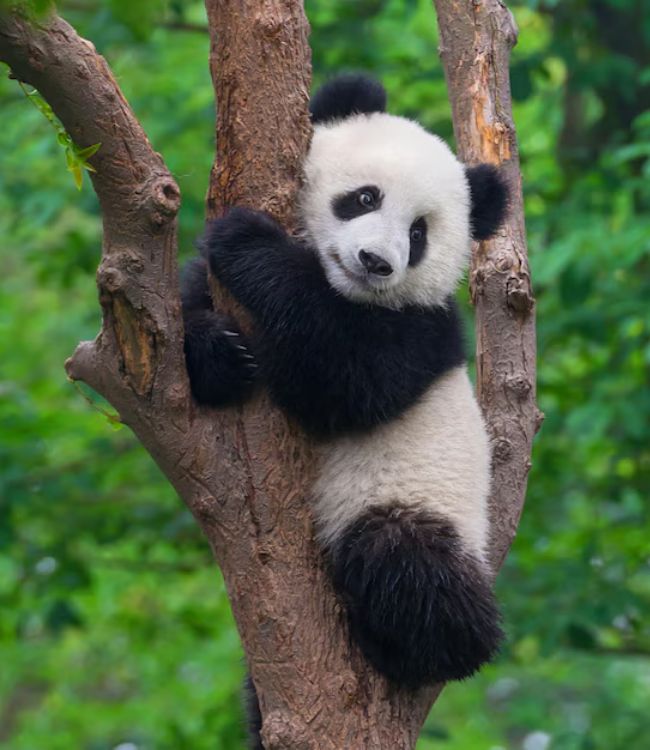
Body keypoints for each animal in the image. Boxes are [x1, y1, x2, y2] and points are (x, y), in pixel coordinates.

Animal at [182, 74, 508, 699]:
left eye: (418, 233)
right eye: (364, 198)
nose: (376, 262)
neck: (346, 290)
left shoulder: (422, 331)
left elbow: (341, 381)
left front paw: (247, 242)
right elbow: (181, 323)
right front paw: (219, 352)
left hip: (417, 502)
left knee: (407, 563)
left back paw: (417, 648)